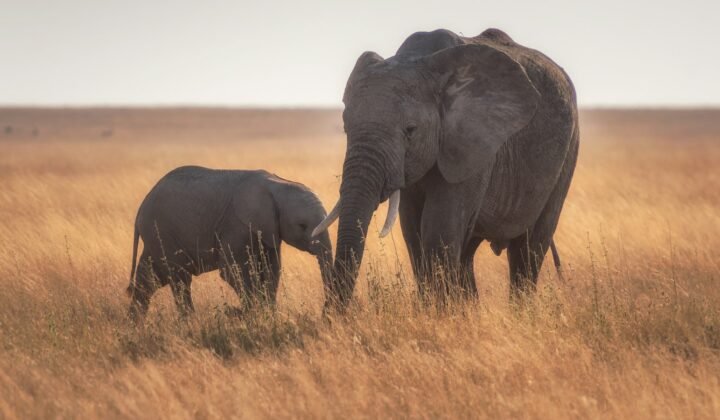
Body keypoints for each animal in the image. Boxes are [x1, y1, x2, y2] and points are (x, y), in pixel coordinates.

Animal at [127, 166, 333, 319]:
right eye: (302, 226)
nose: (325, 314)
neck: (278, 184)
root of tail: (141, 208)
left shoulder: (269, 231)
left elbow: (272, 270)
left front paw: (269, 315)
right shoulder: (235, 225)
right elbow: (232, 270)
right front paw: (252, 315)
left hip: (157, 236)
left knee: (149, 278)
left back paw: (135, 325)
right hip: (161, 232)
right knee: (179, 279)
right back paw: (190, 322)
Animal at [313, 28, 578, 307]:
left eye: (410, 130)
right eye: (346, 127)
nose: (332, 314)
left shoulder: (473, 143)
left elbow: (438, 230)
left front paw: (440, 313)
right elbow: (413, 231)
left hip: (568, 152)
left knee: (529, 248)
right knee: (468, 253)